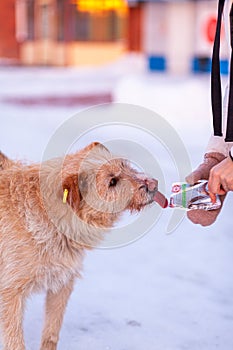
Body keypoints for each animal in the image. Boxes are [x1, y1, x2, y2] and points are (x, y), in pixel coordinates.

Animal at [0, 143, 164, 350]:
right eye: (112, 182)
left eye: (125, 165)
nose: (154, 183)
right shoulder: (11, 293)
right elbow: (15, 341)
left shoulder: (62, 285)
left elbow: (51, 333)